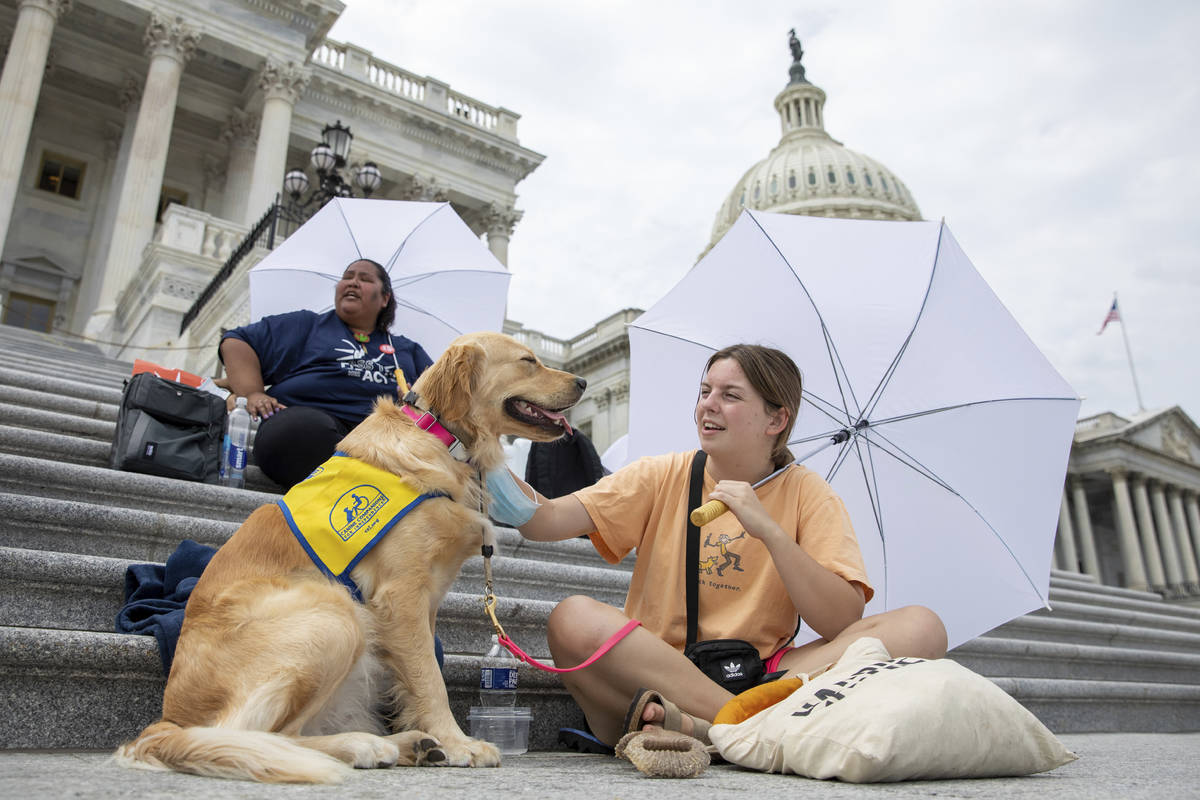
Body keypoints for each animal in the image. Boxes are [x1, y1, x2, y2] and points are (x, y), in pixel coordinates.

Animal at [114, 331, 583, 782]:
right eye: (528, 361)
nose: (582, 382)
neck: (440, 438)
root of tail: (167, 722)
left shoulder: (424, 602)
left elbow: (420, 672)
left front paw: (436, 737)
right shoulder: (400, 595)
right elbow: (431, 679)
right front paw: (458, 744)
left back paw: (408, 744)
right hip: (333, 614)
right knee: (256, 734)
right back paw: (366, 745)